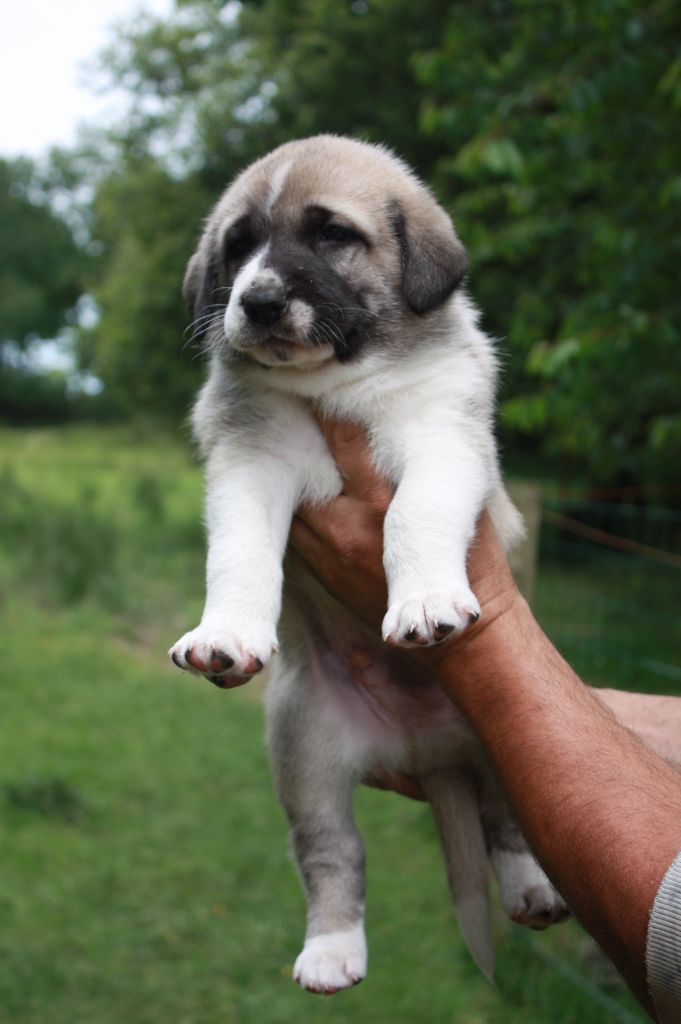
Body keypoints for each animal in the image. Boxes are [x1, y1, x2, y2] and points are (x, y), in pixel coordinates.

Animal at [169, 136, 569, 991]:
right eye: (238, 246)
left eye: (331, 234)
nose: (257, 301)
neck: (337, 382)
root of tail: (429, 752)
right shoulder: (249, 462)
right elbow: (239, 555)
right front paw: (226, 634)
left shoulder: (442, 436)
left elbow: (413, 515)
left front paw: (421, 604)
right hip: (306, 756)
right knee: (332, 856)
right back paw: (331, 949)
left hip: (508, 749)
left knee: (506, 825)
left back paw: (531, 888)